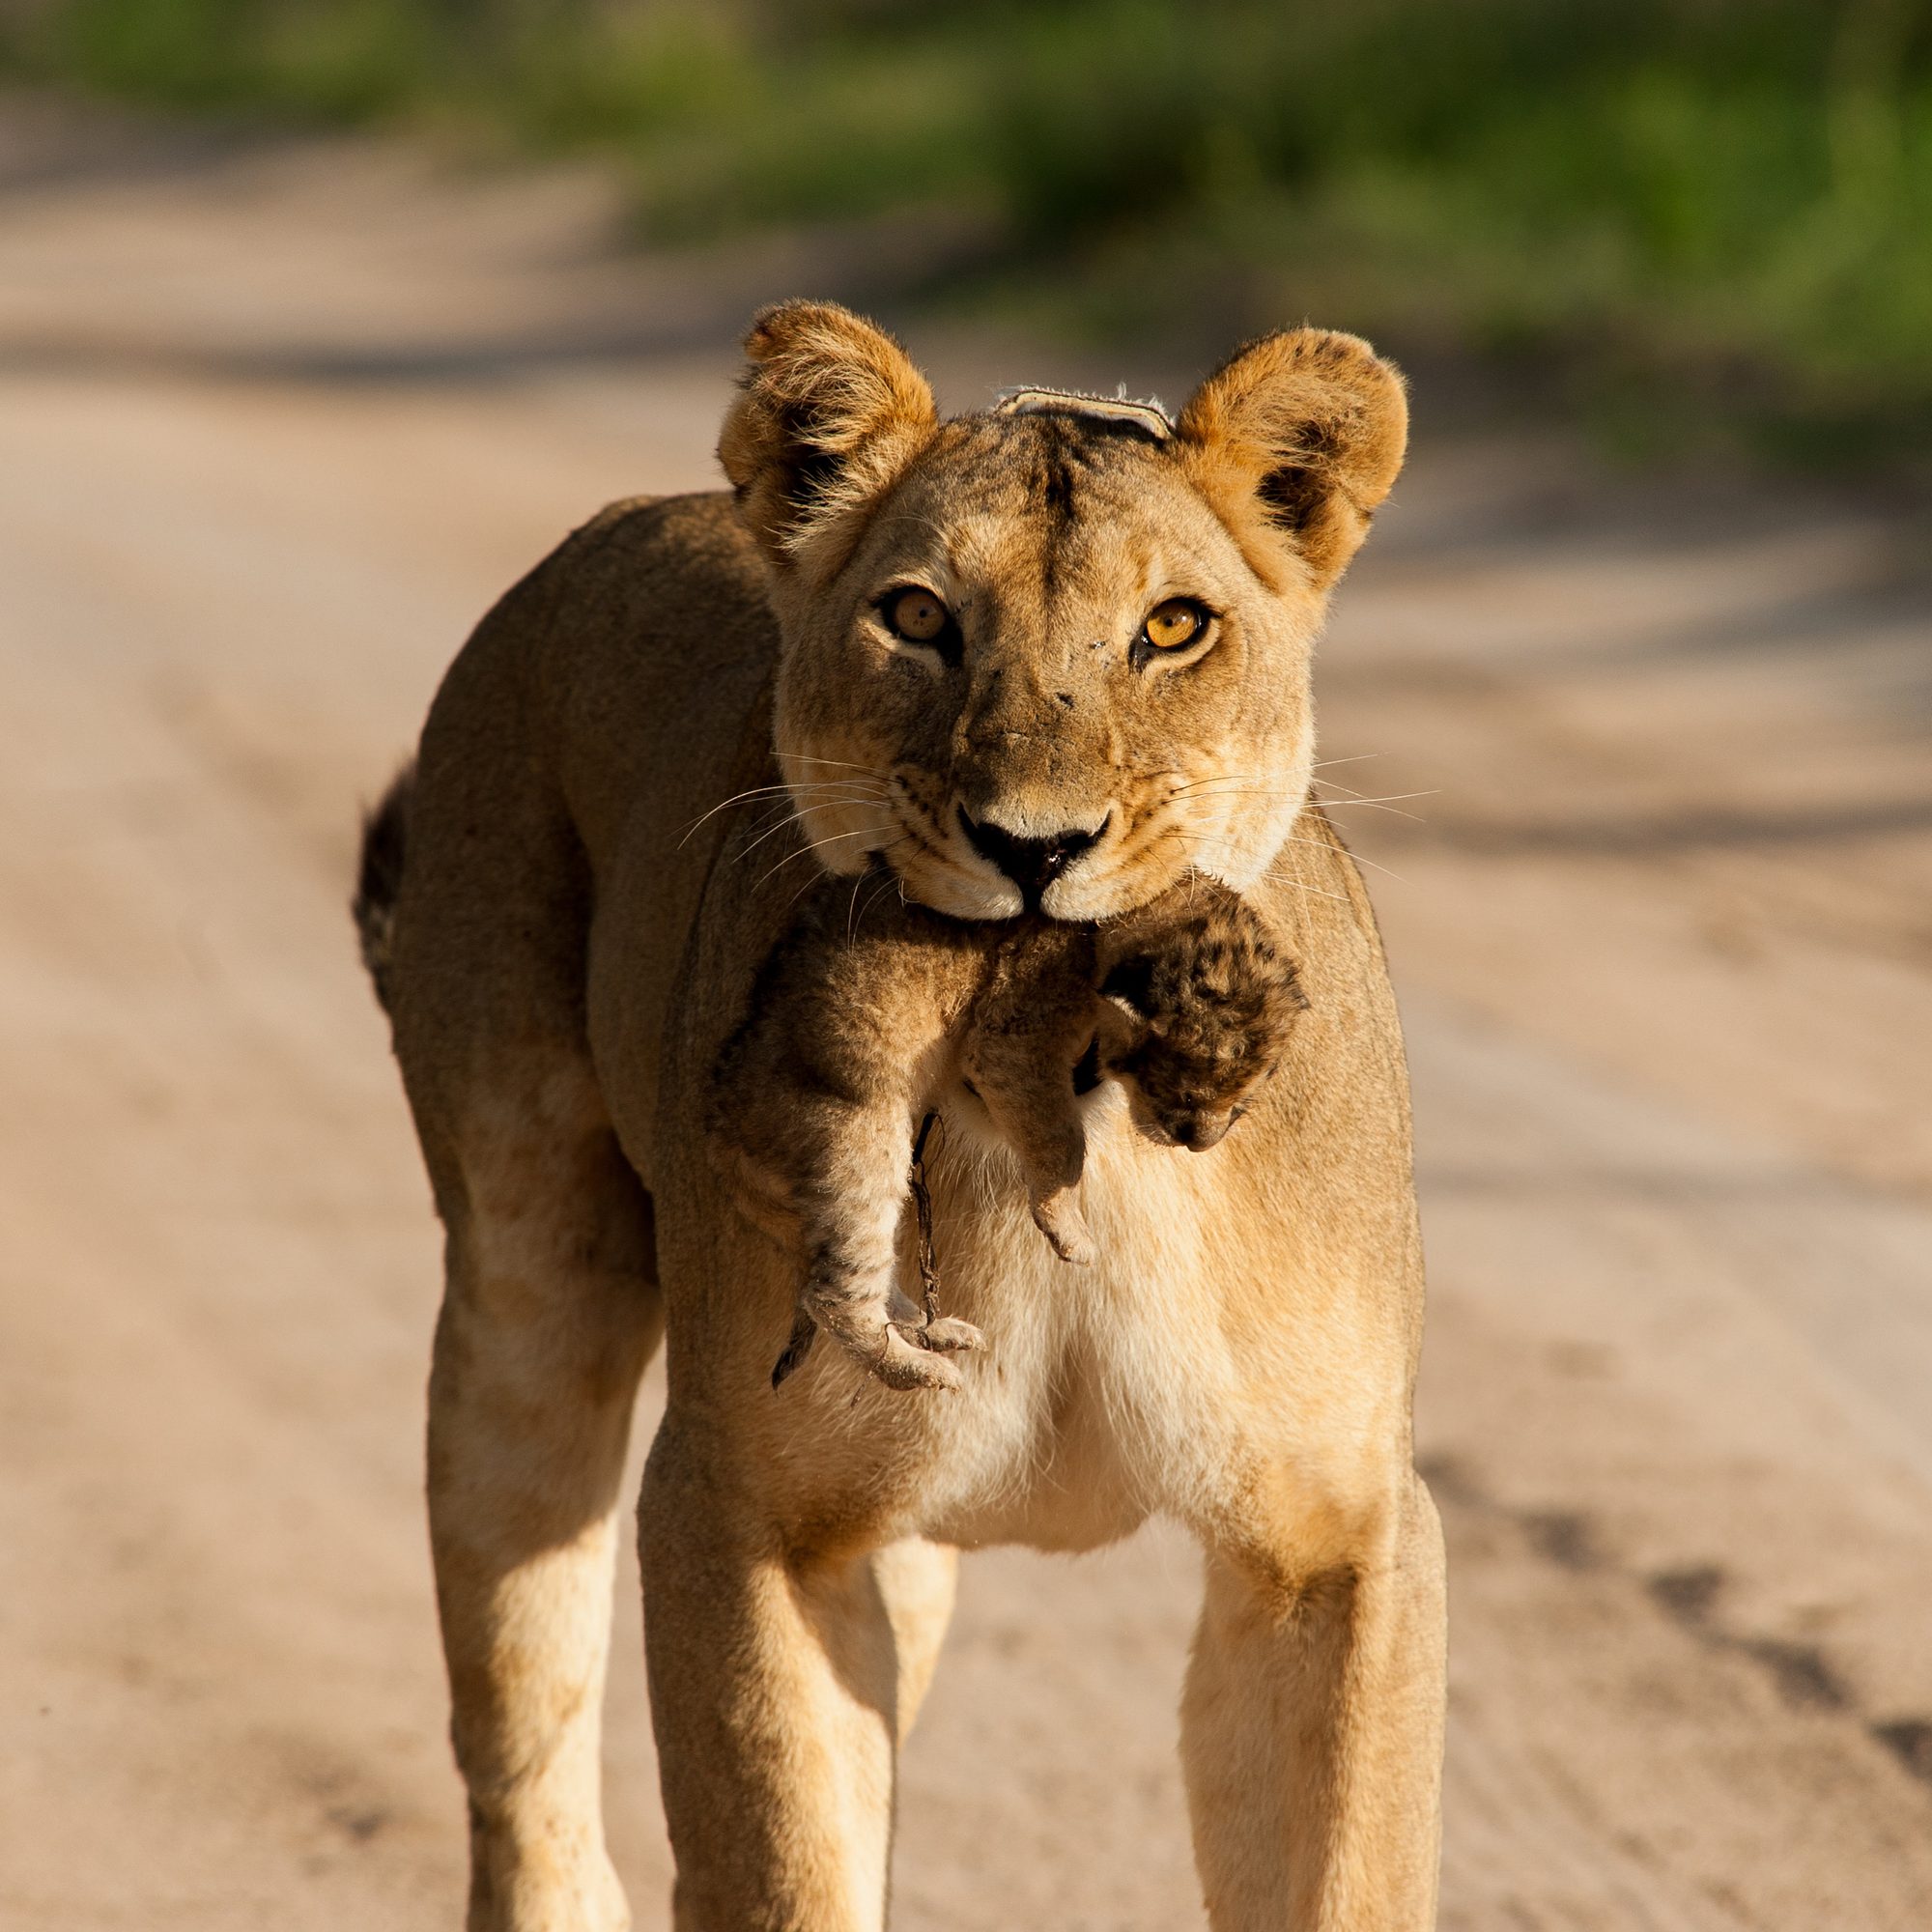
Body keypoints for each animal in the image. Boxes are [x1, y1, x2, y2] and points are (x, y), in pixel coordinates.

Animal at [357, 301, 1444, 1930]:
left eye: (1173, 629)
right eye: (920, 619)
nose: (1034, 847)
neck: (1070, 1115)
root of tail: (609, 528)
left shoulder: (1340, 1540)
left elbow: (1344, 1875)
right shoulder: (738, 1510)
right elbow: (782, 1866)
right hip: (525, 1290)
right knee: (525, 1722)